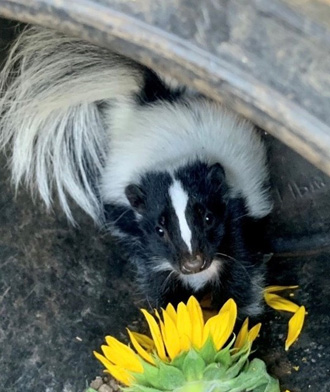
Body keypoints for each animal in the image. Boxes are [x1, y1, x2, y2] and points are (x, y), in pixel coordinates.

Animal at [0, 26, 272, 316]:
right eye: (160, 230)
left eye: (209, 218)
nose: (192, 264)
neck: (174, 155)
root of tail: (156, 101)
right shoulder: (150, 248)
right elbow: (161, 289)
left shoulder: (238, 218)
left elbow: (240, 280)